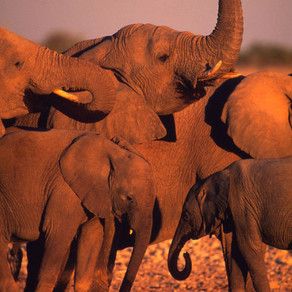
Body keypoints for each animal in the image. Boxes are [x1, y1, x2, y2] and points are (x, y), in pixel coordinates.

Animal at [0, 130, 155, 292]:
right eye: (129, 198)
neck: (113, 151)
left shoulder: (94, 194)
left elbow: (92, 236)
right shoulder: (64, 190)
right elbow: (57, 235)